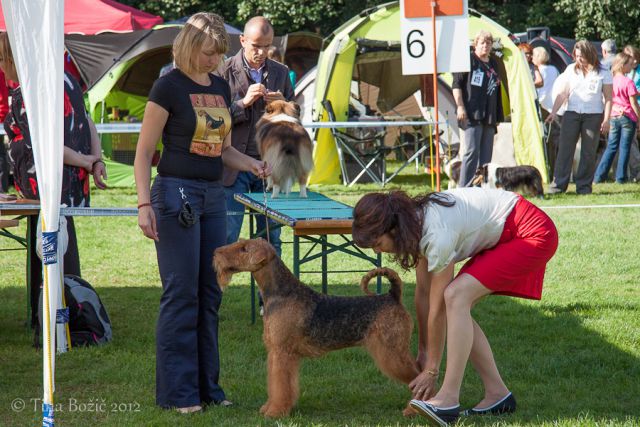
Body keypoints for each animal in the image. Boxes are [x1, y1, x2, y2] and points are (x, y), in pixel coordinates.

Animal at [213, 238, 419, 418]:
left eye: (244, 249)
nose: (215, 252)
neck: (281, 293)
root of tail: (392, 296)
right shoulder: (275, 352)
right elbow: (276, 384)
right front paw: (269, 408)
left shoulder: (282, 352)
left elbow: (281, 386)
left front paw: (275, 412)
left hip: (392, 351)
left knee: (418, 377)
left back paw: (413, 410)